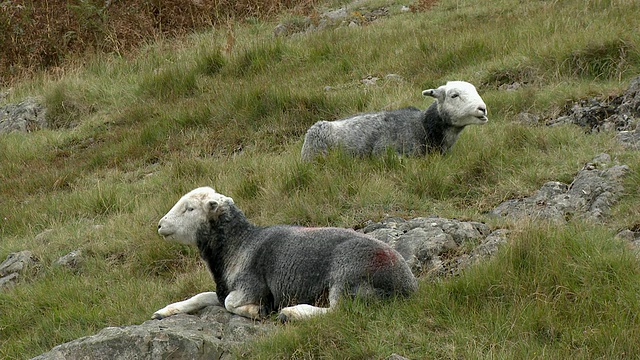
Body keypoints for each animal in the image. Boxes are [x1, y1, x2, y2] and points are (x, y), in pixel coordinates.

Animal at [152, 187, 418, 322]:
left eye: (190, 208)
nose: (160, 225)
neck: (239, 245)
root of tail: (407, 286)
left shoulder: (252, 287)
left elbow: (230, 304)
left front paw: (258, 311)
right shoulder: (223, 290)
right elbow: (199, 296)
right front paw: (165, 310)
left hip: (348, 274)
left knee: (339, 311)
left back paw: (291, 313)